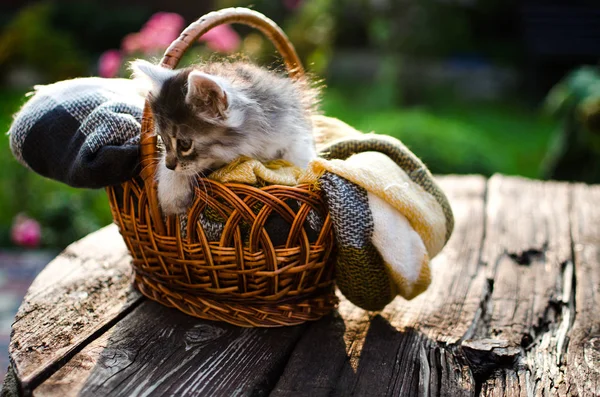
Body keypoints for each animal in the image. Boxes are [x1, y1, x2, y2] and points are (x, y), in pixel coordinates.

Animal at [131, 59, 318, 213]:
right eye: (163, 140)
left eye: (185, 144)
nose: (169, 165)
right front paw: (172, 194)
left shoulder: (292, 134)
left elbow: (298, 157)